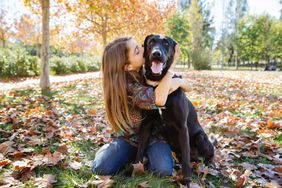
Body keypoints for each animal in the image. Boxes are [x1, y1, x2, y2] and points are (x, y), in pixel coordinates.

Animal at [135, 34, 215, 186]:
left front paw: (187, 181)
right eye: (151, 42)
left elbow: (186, 160)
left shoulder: (182, 127)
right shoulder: (146, 124)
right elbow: (140, 149)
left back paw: (209, 164)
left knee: (208, 153)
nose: (156, 54)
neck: (158, 84)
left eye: (166, 43)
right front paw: (133, 170)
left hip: (201, 137)